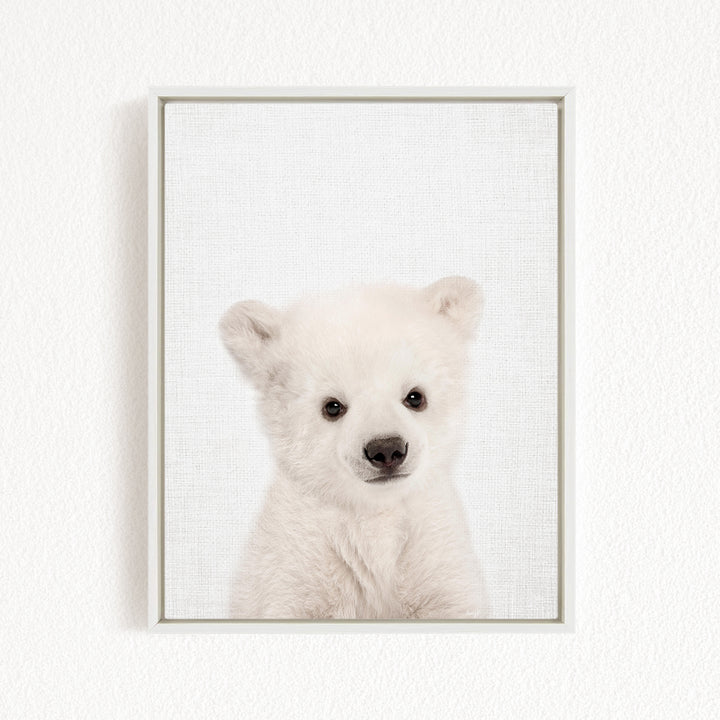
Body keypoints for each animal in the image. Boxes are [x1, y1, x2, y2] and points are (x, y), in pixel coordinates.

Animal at [220, 276, 486, 620]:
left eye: (415, 396)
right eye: (332, 406)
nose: (386, 449)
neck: (374, 511)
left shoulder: (434, 547)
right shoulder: (296, 557)